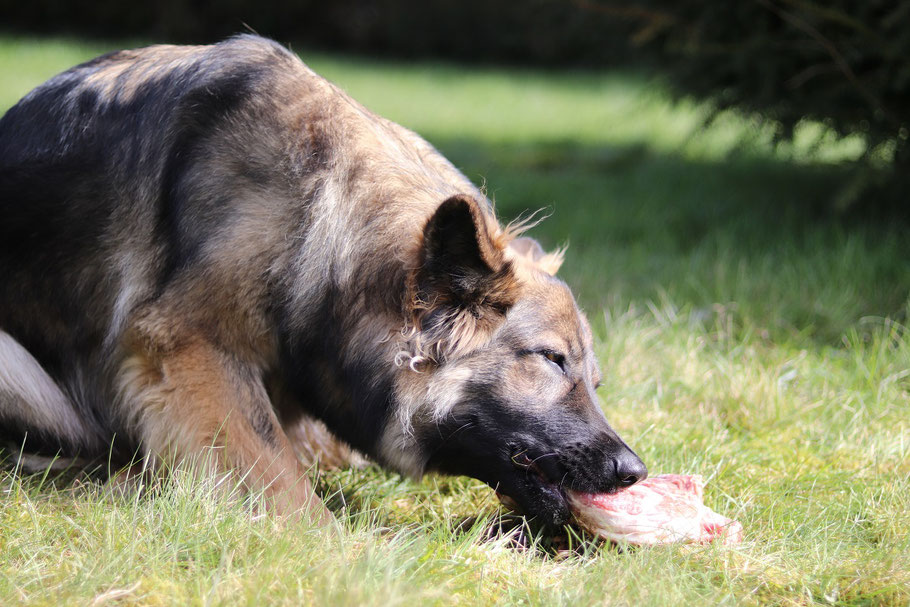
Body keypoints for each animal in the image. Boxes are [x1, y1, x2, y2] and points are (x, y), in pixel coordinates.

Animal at [0, 34, 648, 528]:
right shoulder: (185, 344)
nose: (633, 471)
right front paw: (333, 548)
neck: (317, 219)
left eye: (594, 379)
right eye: (551, 360)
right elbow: (268, 462)